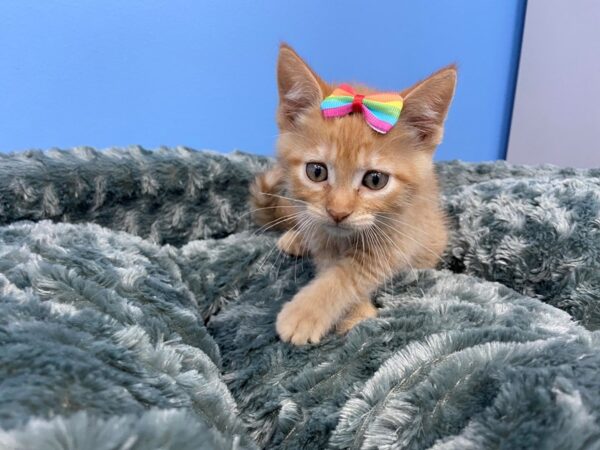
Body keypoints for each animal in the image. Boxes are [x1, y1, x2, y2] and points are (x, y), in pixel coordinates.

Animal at [251, 44, 458, 344]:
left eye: (375, 180)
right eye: (316, 172)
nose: (338, 212)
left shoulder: (401, 234)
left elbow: (350, 273)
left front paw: (308, 312)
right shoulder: (322, 232)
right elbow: (328, 262)